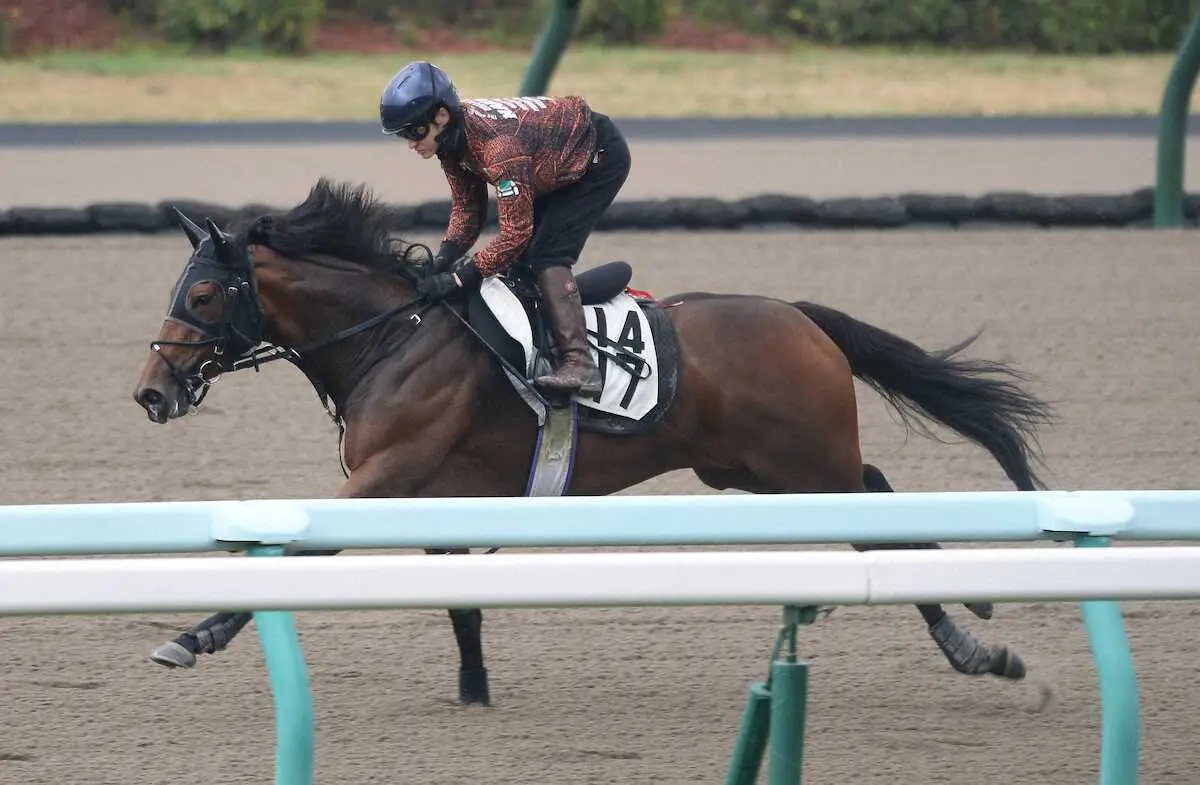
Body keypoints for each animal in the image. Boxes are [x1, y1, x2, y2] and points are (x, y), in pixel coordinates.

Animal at [126, 178, 1056, 705]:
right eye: (177, 290)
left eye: (203, 296)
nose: (150, 390)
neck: (394, 334)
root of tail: (801, 316)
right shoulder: (435, 496)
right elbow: (458, 598)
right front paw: (475, 689)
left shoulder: (385, 477)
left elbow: (293, 554)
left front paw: (192, 636)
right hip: (748, 468)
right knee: (880, 489)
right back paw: (966, 613)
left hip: (801, 461)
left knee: (875, 513)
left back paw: (976, 645)